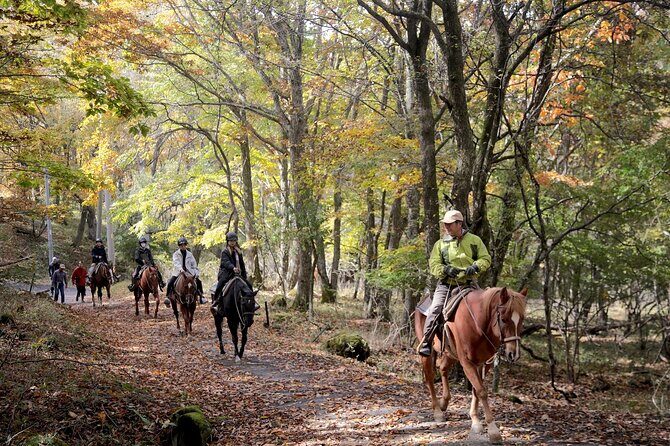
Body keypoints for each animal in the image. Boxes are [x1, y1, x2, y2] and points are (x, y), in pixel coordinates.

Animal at [414, 286, 527, 444]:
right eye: (503, 319)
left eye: (521, 319)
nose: (513, 354)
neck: (477, 323)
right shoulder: (467, 362)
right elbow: (481, 391)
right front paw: (492, 430)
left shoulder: (483, 363)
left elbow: (476, 390)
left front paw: (475, 420)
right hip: (427, 352)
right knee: (430, 376)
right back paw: (437, 411)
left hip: (450, 354)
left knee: (443, 369)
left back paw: (444, 402)